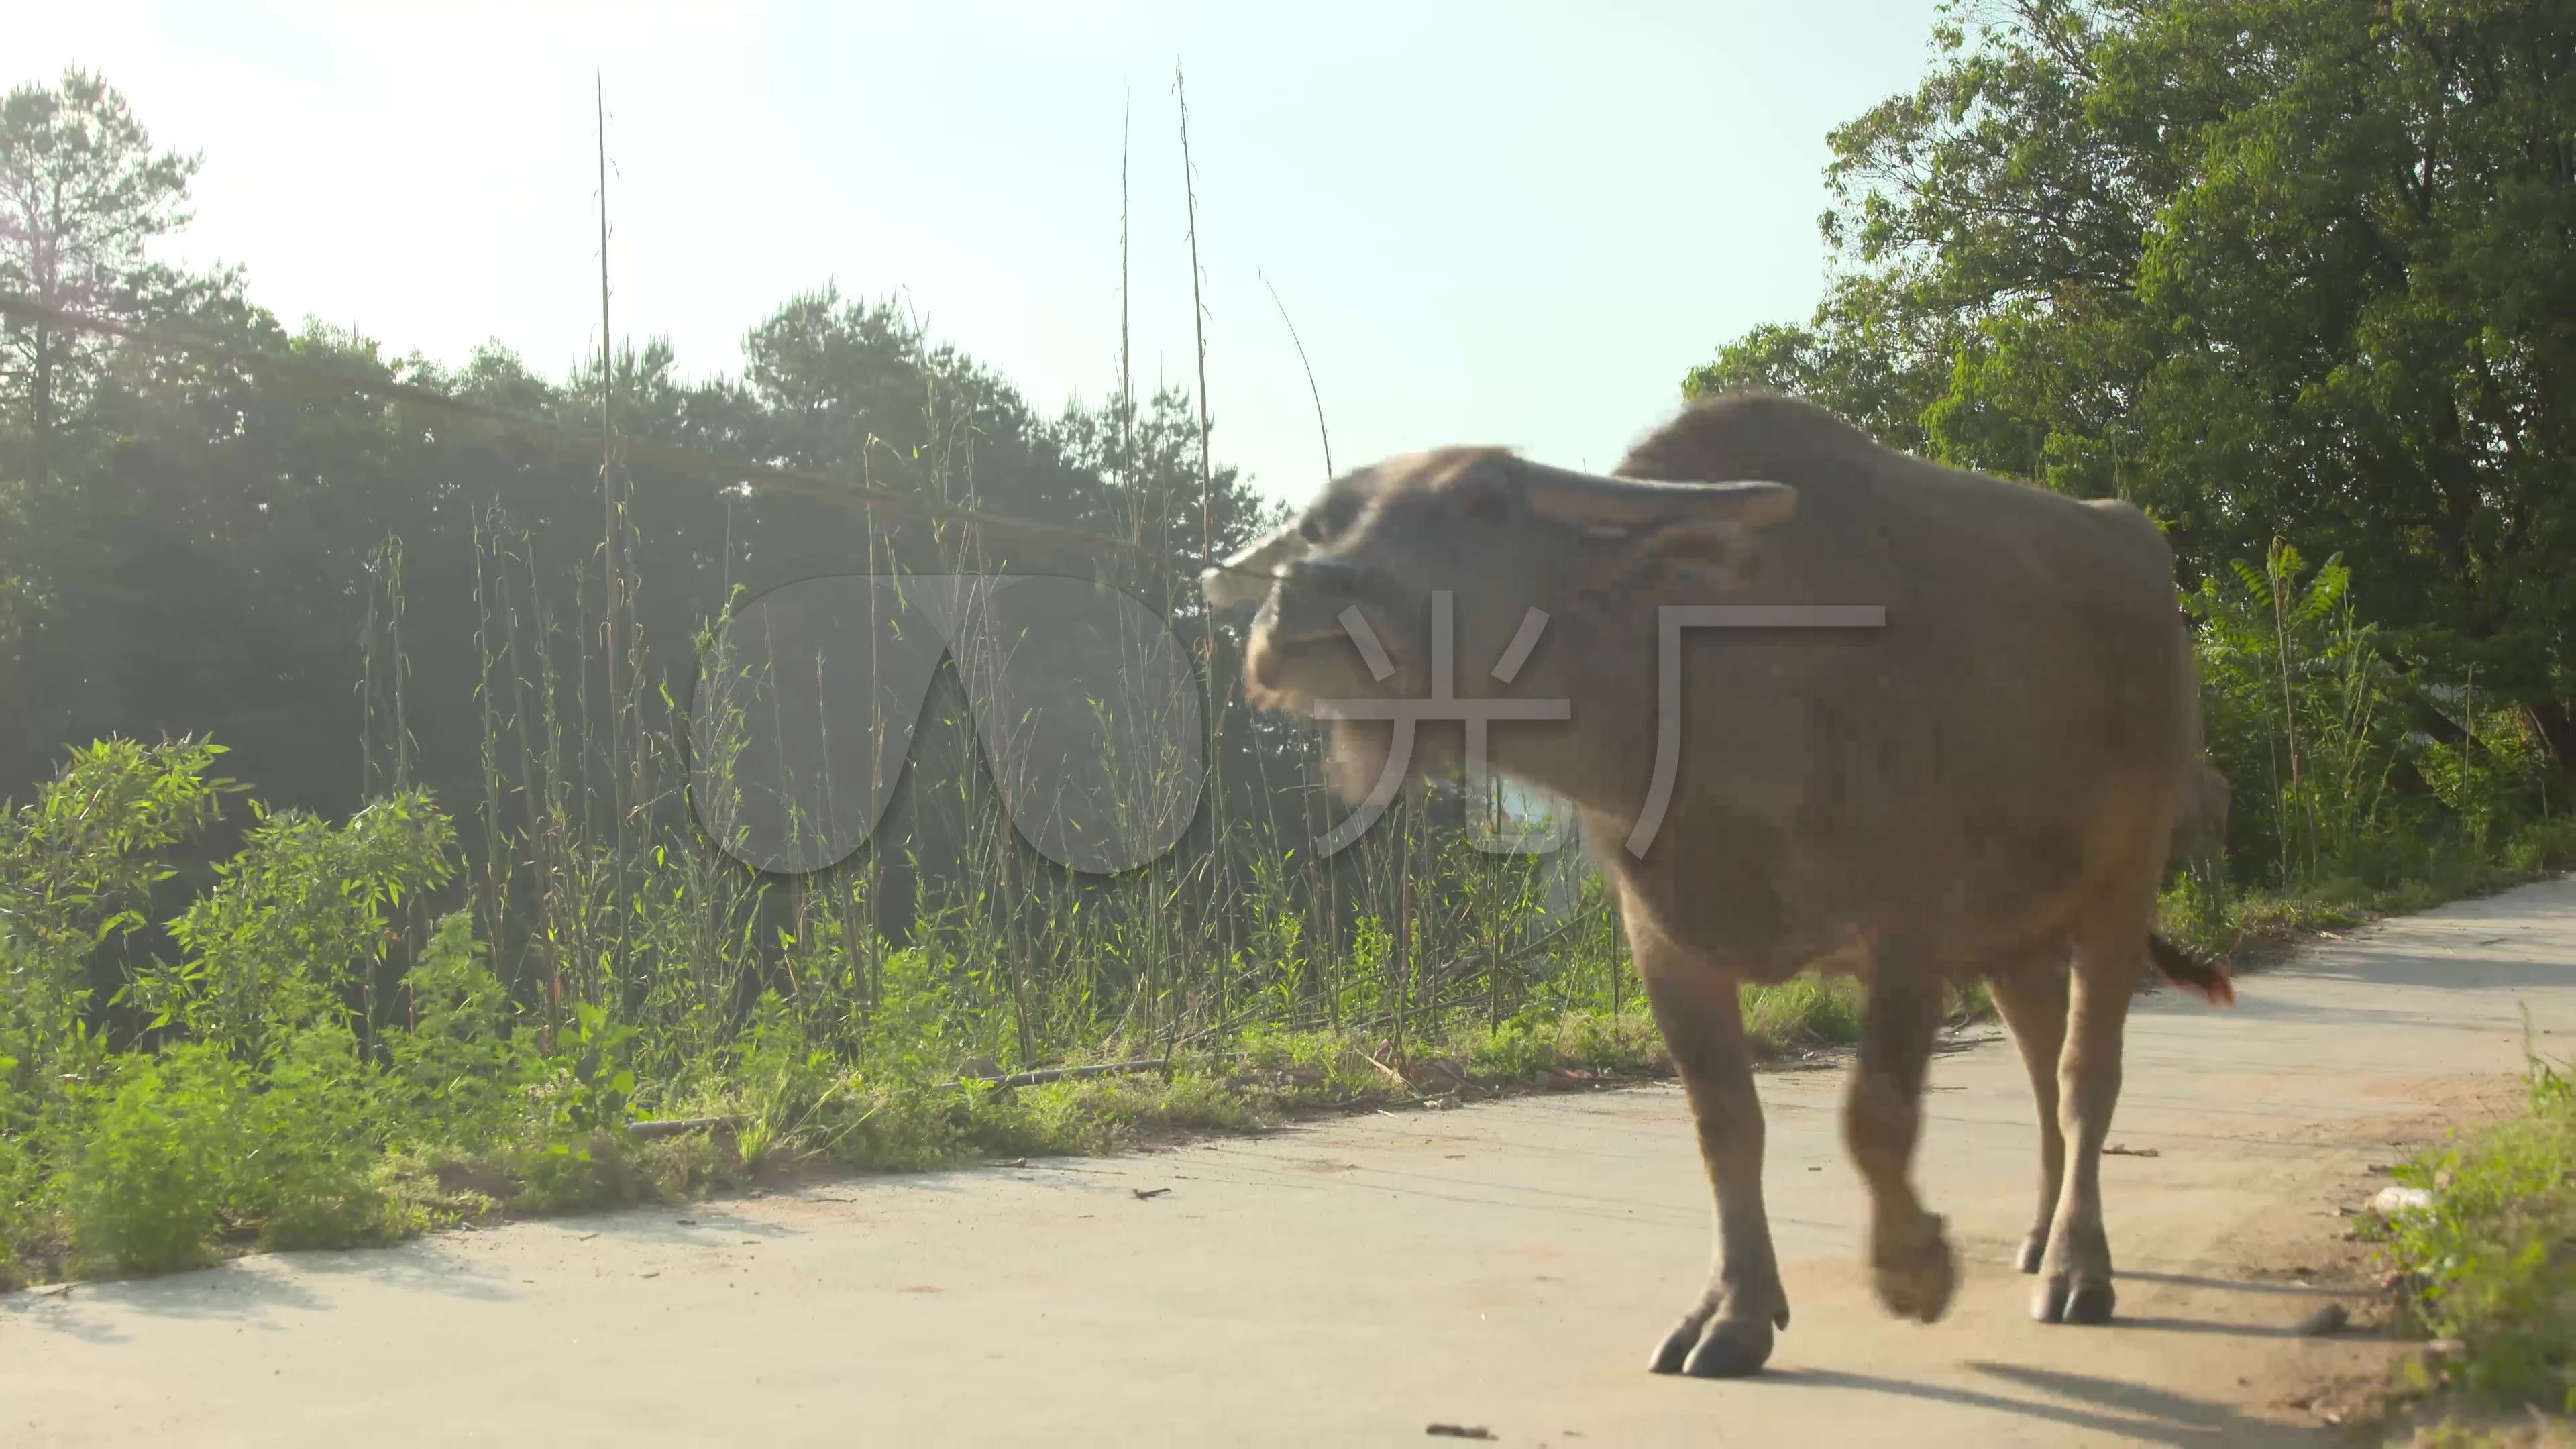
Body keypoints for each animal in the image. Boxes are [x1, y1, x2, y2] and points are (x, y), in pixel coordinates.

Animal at [1205, 386, 2236, 1371]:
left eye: (1483, 500)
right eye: (1319, 524)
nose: (1309, 596)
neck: (1720, 687)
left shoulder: (1908, 932)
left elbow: (1874, 1115)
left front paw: (1913, 1273)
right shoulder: (1663, 938)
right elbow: (1725, 1125)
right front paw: (1734, 1314)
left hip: (2123, 886)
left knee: (2084, 1073)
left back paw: (2076, 1266)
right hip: (2015, 936)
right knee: (2038, 1055)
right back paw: (2036, 1233)